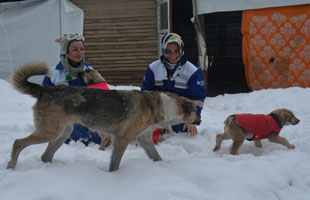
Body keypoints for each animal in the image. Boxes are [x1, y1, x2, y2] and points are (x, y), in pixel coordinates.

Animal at [7, 61, 201, 171]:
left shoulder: (145, 139)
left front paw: (163, 167)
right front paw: (113, 176)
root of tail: (44, 89)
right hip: (51, 132)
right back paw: (11, 167)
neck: (163, 106)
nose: (200, 121)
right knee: (18, 143)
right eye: (196, 111)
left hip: (61, 134)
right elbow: (115, 164)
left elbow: (157, 156)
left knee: (45, 156)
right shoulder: (122, 139)